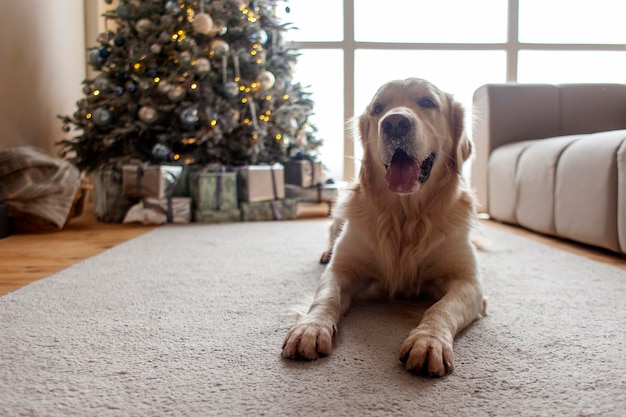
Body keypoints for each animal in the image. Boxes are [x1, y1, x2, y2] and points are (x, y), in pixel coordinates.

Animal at [280, 78, 486, 376]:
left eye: (428, 102)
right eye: (378, 108)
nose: (395, 123)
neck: (405, 214)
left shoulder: (469, 283)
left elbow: (442, 308)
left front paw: (429, 341)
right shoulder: (342, 269)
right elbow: (326, 297)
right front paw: (310, 328)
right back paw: (325, 252)